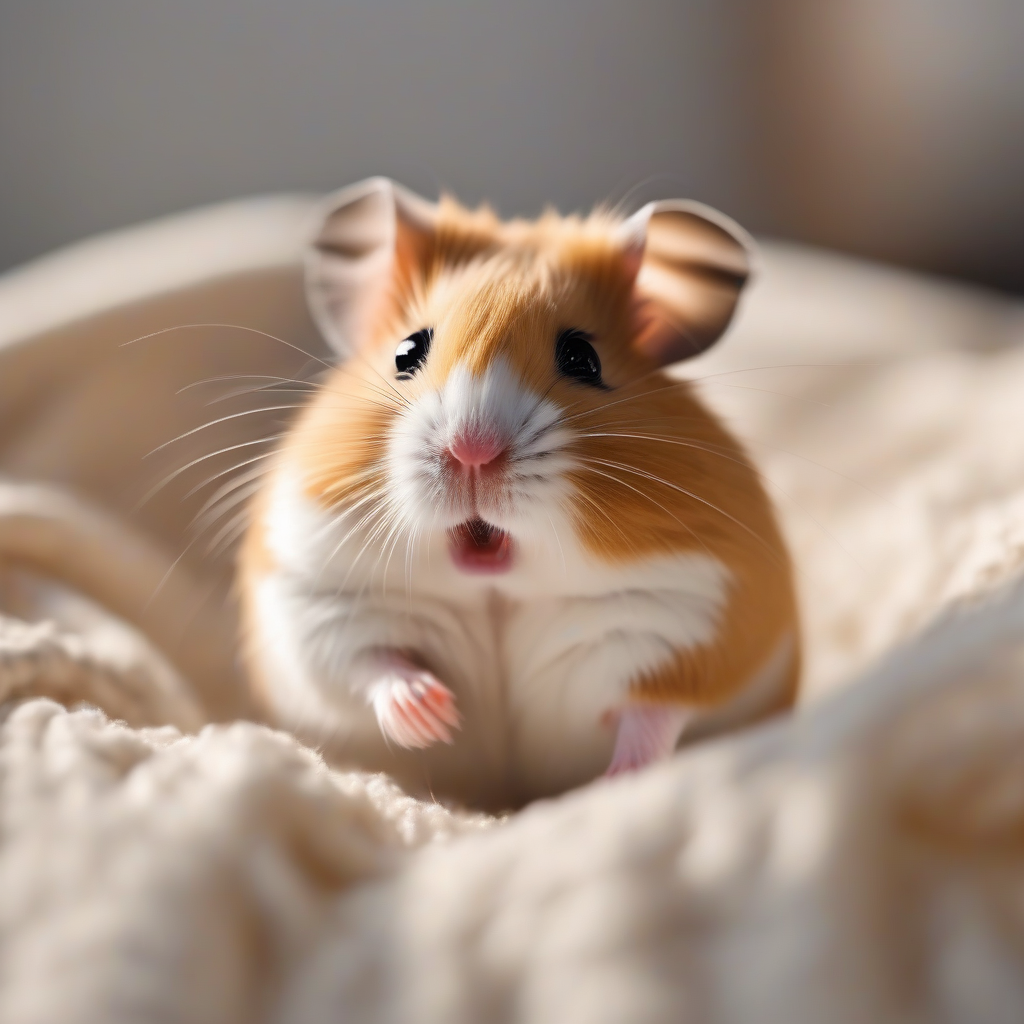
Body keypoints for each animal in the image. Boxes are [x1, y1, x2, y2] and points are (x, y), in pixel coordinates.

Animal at [238, 177, 799, 810]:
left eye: (584, 358)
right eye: (406, 352)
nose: (471, 450)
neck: (497, 591)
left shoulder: (694, 616)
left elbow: (654, 710)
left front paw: (618, 781)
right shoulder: (315, 594)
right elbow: (368, 662)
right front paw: (434, 716)